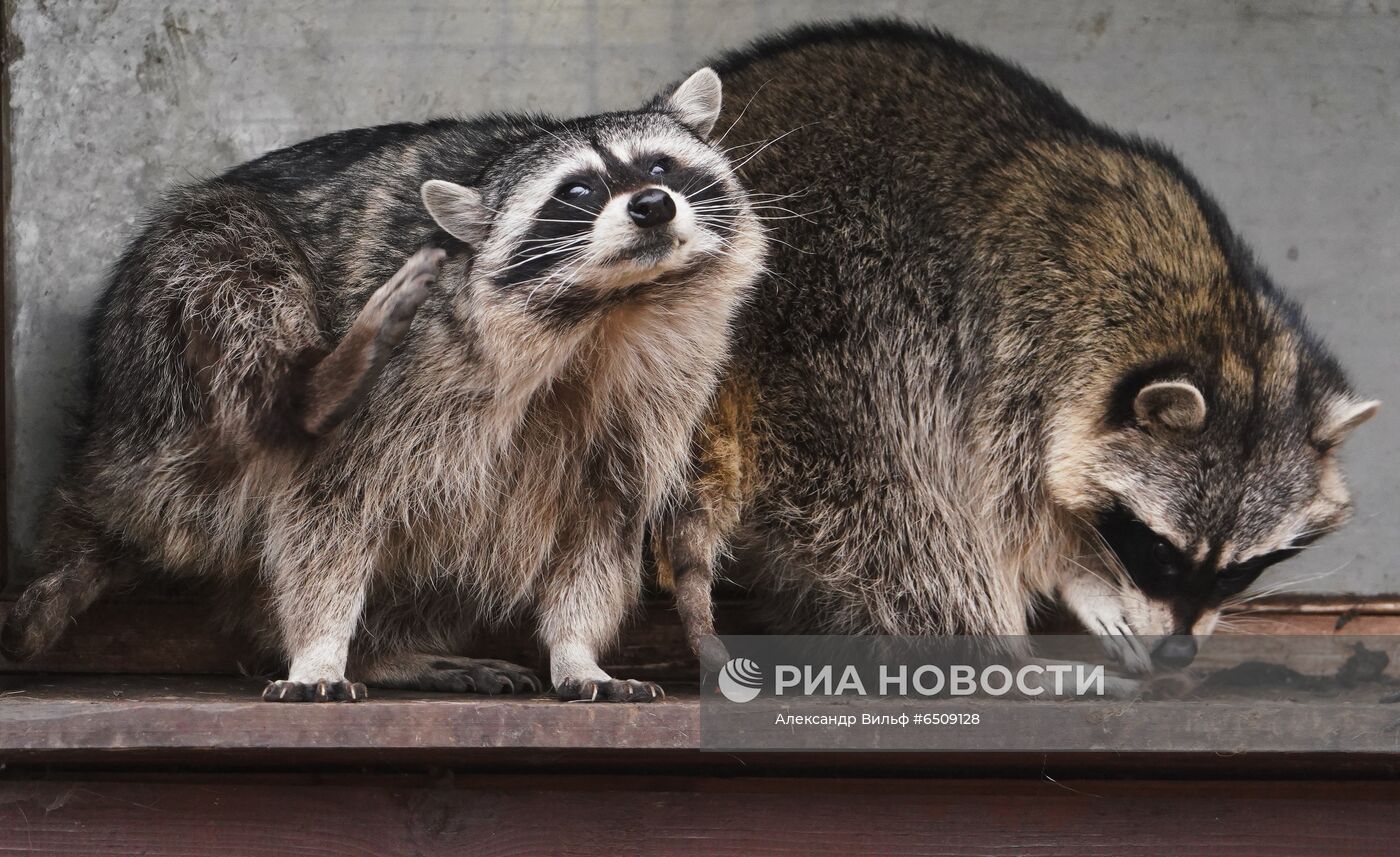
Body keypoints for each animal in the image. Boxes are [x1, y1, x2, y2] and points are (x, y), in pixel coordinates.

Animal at [0, 68, 767, 702]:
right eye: (576, 191)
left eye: (661, 165)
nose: (652, 205)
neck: (613, 306)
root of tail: (100, 461)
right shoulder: (416, 372)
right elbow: (326, 508)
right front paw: (319, 648)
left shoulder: (653, 398)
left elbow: (600, 528)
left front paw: (577, 653)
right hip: (161, 364)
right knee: (234, 267)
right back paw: (308, 392)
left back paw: (392, 651)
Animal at [655, 21, 1377, 674]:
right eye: (1161, 553)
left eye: (1238, 571)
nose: (1177, 653)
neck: (1204, 317)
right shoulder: (1014, 350)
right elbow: (1008, 508)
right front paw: (1079, 578)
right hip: (843, 334)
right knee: (910, 505)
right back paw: (990, 651)